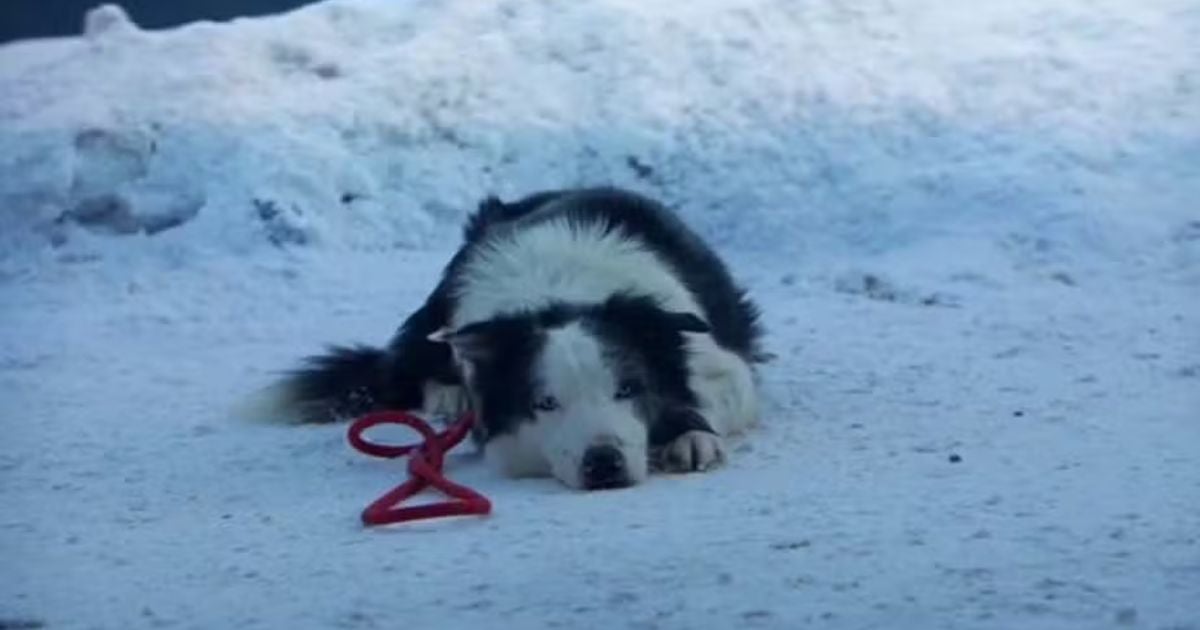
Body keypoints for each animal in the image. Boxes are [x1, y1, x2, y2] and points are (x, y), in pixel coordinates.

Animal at [268, 184, 763, 489]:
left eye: (628, 390)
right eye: (545, 403)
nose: (603, 463)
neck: (561, 296)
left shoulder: (719, 363)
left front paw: (689, 435)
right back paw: (450, 396)